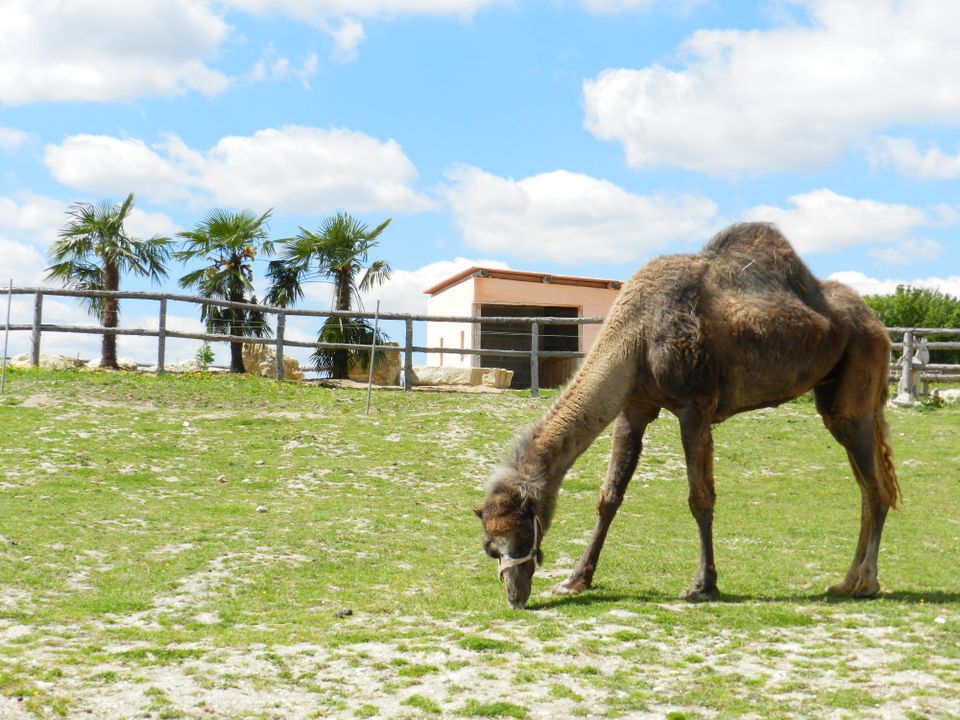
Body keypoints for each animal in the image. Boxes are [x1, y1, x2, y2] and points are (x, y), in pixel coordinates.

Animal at [476, 224, 896, 608]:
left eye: (521, 534)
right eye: (490, 547)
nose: (514, 596)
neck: (636, 337)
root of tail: (879, 324)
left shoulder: (695, 407)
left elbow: (700, 497)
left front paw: (703, 586)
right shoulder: (634, 407)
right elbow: (609, 495)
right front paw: (574, 580)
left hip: (856, 384)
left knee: (874, 486)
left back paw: (864, 584)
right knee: (867, 484)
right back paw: (846, 581)